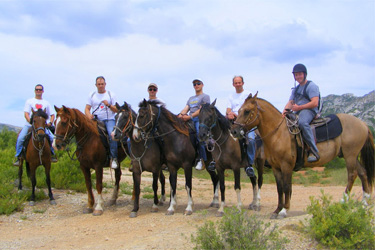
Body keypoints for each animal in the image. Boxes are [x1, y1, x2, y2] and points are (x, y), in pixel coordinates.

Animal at [232, 92, 375, 219]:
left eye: (247, 111)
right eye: (238, 110)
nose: (234, 131)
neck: (278, 133)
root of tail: (363, 124)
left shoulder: (286, 166)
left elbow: (286, 187)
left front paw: (284, 210)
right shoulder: (276, 167)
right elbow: (279, 188)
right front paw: (277, 210)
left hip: (350, 155)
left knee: (352, 175)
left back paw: (343, 200)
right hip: (350, 156)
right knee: (363, 173)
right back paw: (364, 202)